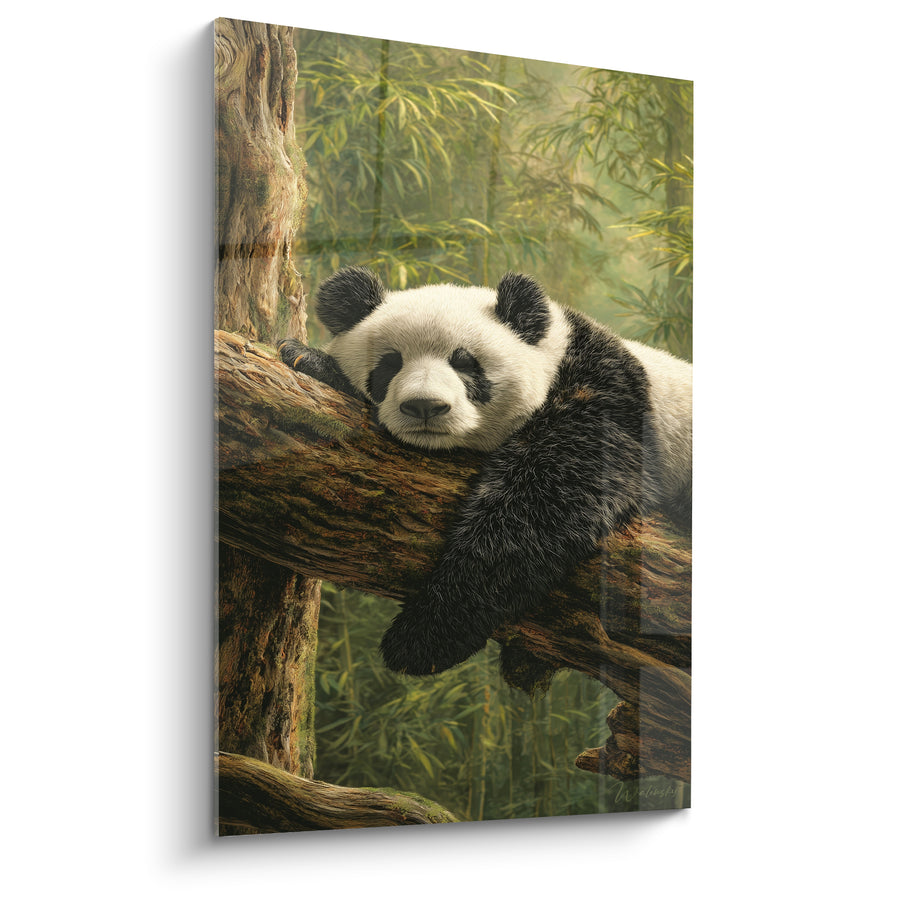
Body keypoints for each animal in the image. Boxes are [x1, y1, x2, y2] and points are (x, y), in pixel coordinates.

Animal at [279, 266, 692, 676]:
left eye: (465, 364)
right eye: (390, 364)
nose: (424, 406)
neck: (558, 348)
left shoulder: (606, 396)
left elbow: (548, 497)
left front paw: (423, 636)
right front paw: (308, 360)